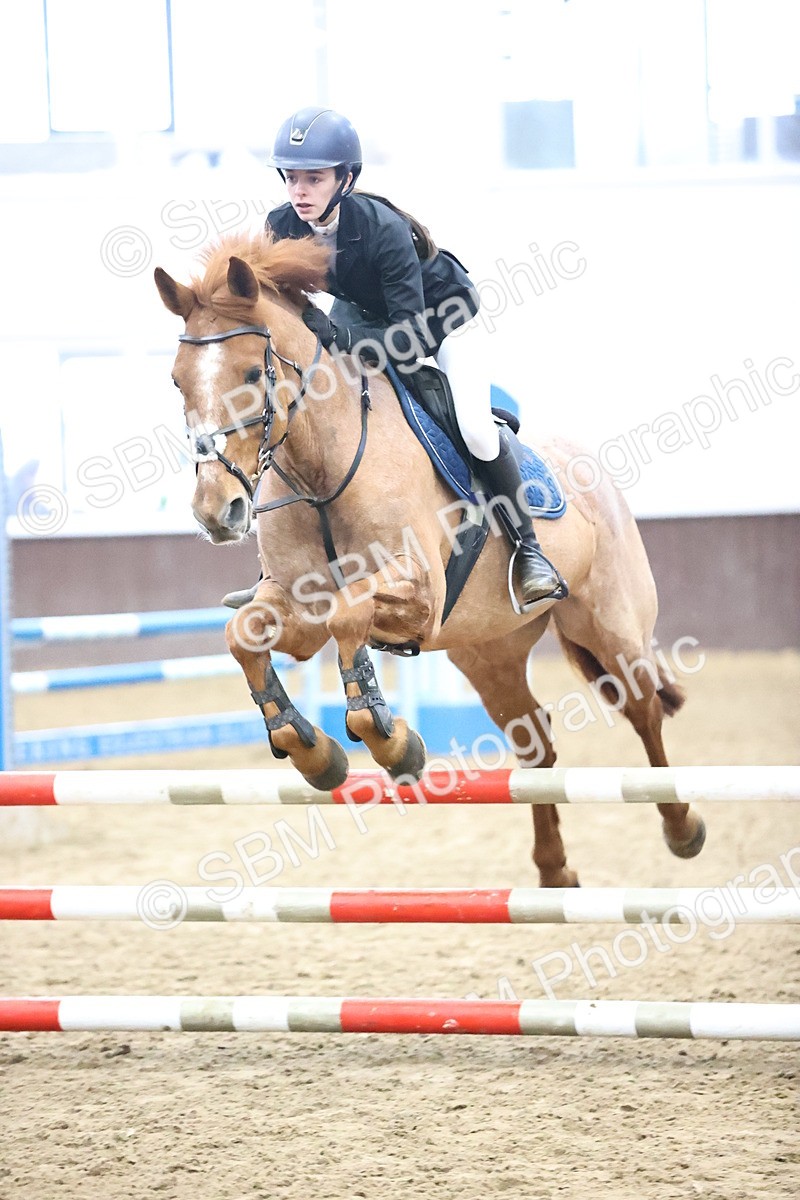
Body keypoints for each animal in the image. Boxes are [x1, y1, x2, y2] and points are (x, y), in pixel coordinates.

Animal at [154, 230, 705, 887]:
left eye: (248, 372)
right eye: (177, 382)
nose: (217, 511)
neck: (321, 471)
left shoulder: (420, 595)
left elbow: (349, 615)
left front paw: (391, 743)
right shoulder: (298, 611)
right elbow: (245, 634)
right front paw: (313, 751)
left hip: (609, 626)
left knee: (643, 710)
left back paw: (682, 828)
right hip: (488, 651)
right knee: (535, 739)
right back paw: (553, 873)